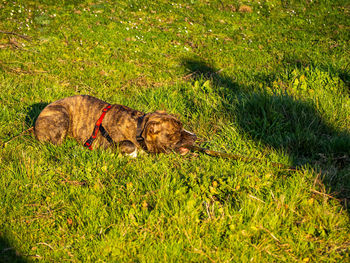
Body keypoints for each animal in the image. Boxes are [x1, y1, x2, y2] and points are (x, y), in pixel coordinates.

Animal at [34, 96, 197, 157]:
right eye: (176, 132)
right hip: (62, 116)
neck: (138, 129)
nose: (195, 136)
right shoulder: (105, 145)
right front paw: (132, 154)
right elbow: (129, 143)